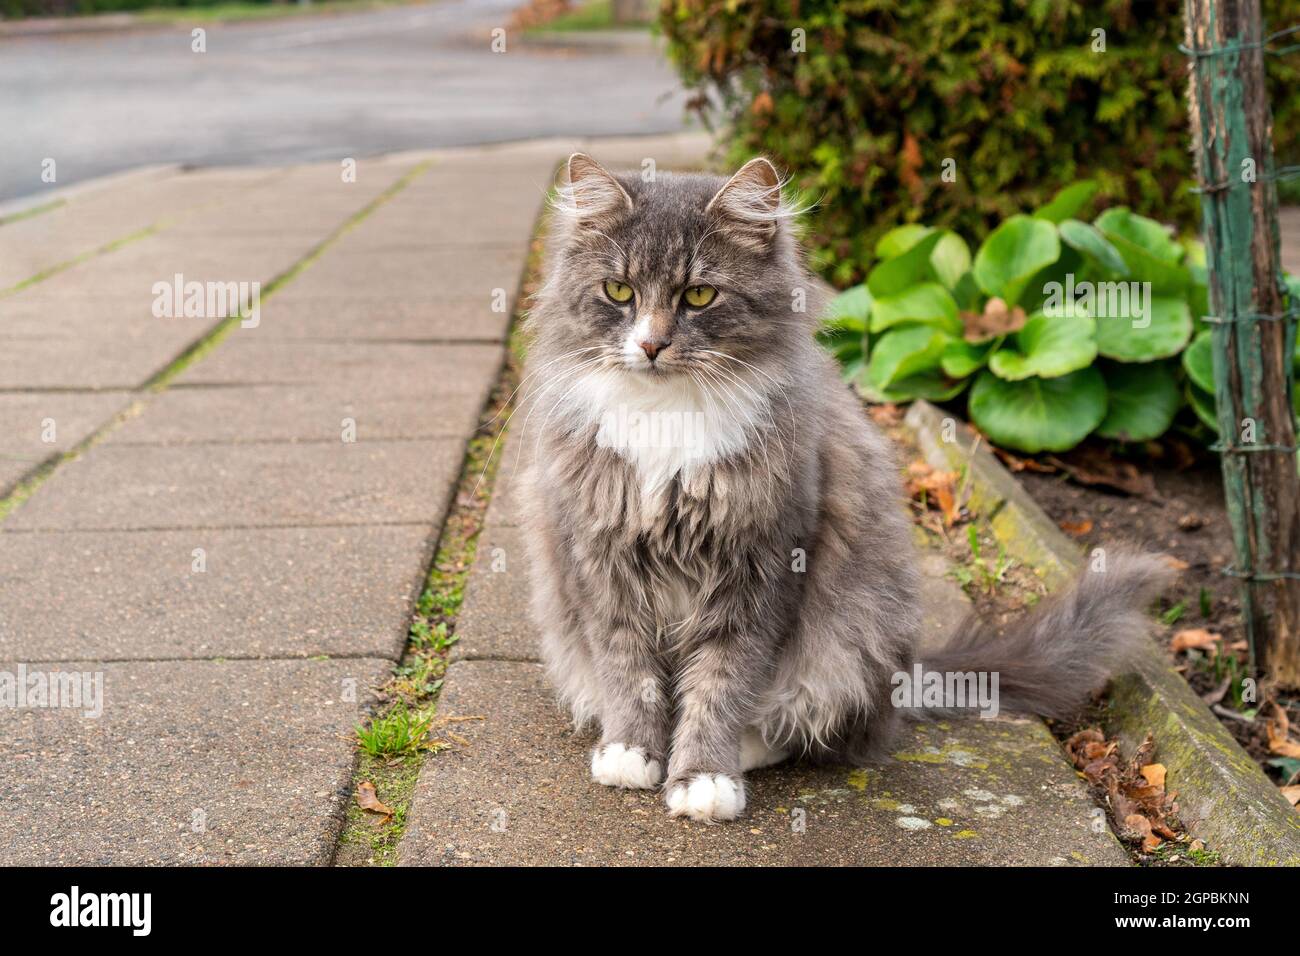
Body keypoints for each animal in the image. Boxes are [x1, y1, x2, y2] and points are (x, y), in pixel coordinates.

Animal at [514, 151, 1170, 822]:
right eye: (619, 292)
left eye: (699, 295)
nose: (649, 345)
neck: (666, 420)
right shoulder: (600, 560)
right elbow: (629, 671)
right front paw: (632, 753)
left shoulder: (763, 567)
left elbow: (723, 682)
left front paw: (703, 778)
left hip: (854, 635)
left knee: (803, 721)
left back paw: (746, 750)